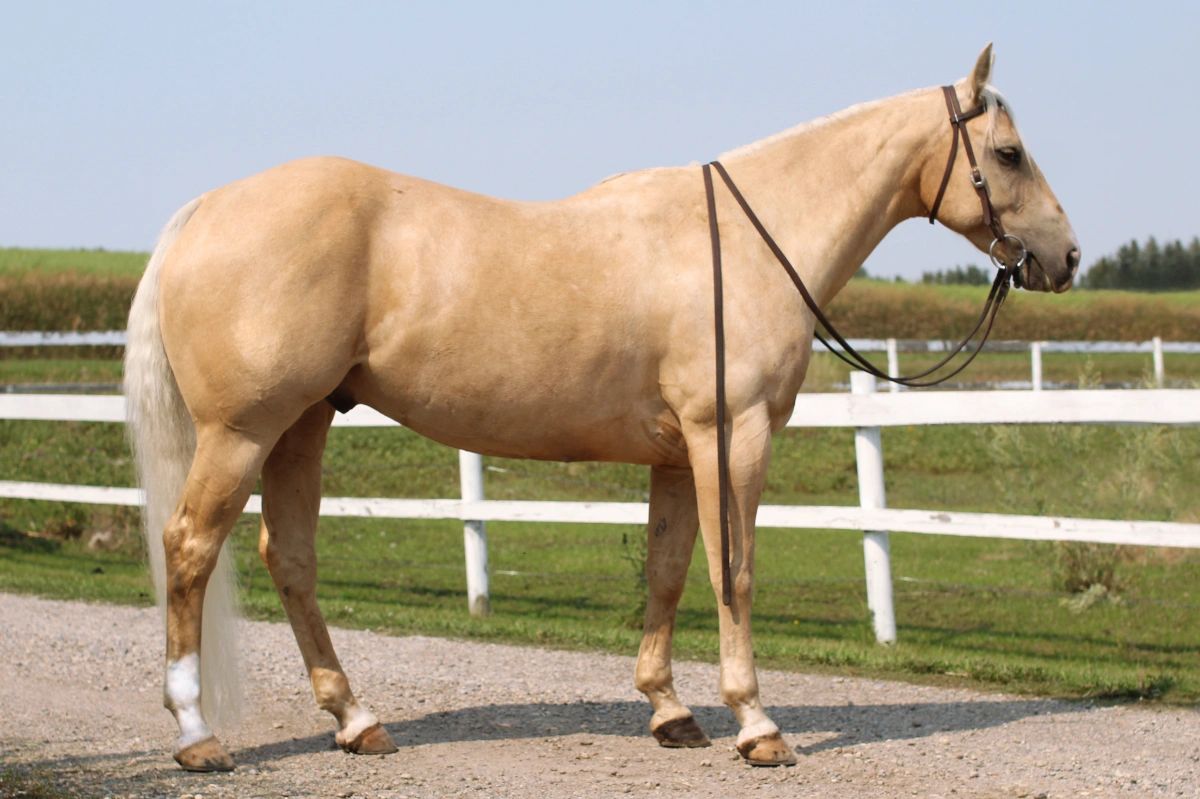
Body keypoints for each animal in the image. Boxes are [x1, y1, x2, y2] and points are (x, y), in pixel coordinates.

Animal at [124, 44, 1078, 771]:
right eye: (1007, 153)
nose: (1066, 256)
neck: (749, 239)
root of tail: (201, 211)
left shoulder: (675, 455)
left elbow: (667, 570)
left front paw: (670, 712)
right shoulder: (731, 437)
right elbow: (734, 571)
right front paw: (756, 724)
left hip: (304, 423)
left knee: (290, 558)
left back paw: (357, 720)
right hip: (243, 432)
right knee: (191, 548)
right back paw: (198, 734)